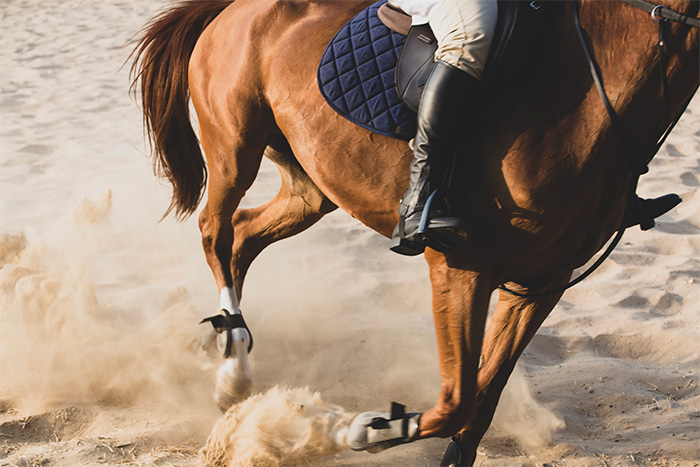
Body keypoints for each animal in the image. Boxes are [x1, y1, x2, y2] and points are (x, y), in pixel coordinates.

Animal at [130, 0, 696, 464]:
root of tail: (230, 8)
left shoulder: (541, 283)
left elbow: (480, 404)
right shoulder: (460, 266)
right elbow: (456, 403)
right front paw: (354, 430)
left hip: (310, 186)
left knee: (245, 236)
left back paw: (235, 371)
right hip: (234, 148)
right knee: (216, 231)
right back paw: (235, 369)